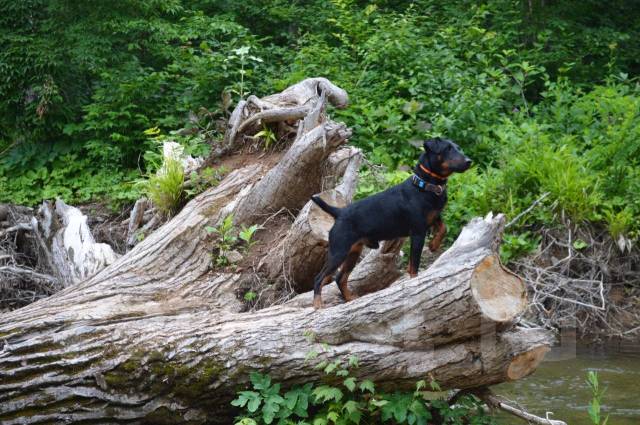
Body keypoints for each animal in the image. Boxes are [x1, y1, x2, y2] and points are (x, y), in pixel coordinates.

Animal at [312, 139, 472, 308]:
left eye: (458, 148)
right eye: (447, 149)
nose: (469, 161)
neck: (425, 185)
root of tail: (339, 212)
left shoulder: (434, 218)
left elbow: (444, 228)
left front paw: (434, 245)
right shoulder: (418, 232)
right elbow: (414, 265)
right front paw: (415, 283)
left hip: (353, 251)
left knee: (340, 278)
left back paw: (350, 299)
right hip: (339, 251)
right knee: (319, 278)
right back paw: (318, 305)